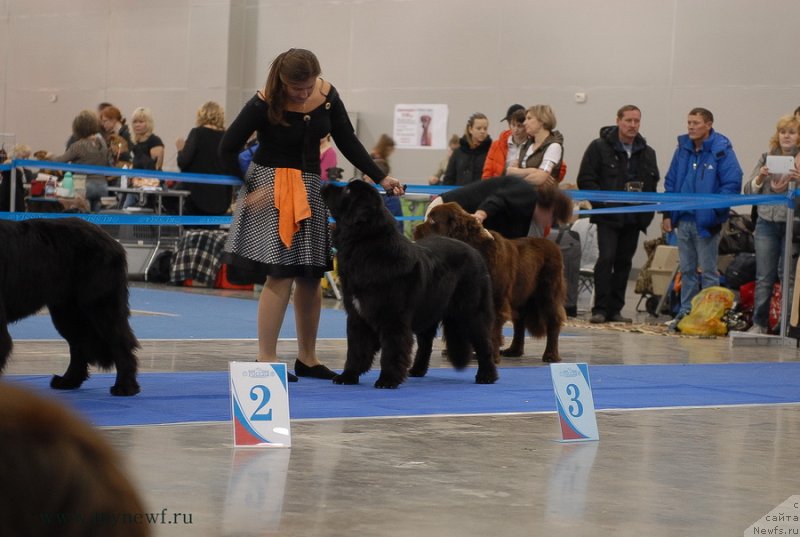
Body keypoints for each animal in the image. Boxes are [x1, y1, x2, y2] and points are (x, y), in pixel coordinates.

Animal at [0, 216, 141, 396]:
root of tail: (111, 240)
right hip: (68, 312)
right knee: (78, 345)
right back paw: (68, 380)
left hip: (100, 305)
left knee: (120, 342)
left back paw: (125, 387)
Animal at [318, 179, 494, 386]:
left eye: (346, 191)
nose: (326, 184)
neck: (367, 247)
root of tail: (474, 252)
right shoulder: (357, 315)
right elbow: (356, 349)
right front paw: (348, 376)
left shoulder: (394, 317)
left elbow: (392, 349)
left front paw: (387, 380)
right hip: (430, 309)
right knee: (425, 344)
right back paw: (417, 370)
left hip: (471, 311)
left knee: (483, 342)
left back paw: (487, 375)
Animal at [416, 203, 564, 362]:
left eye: (432, 221)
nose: (414, 230)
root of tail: (551, 244)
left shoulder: (496, 301)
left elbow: (492, 330)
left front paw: (491, 357)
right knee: (519, 322)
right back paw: (514, 350)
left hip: (547, 294)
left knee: (553, 321)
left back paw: (551, 355)